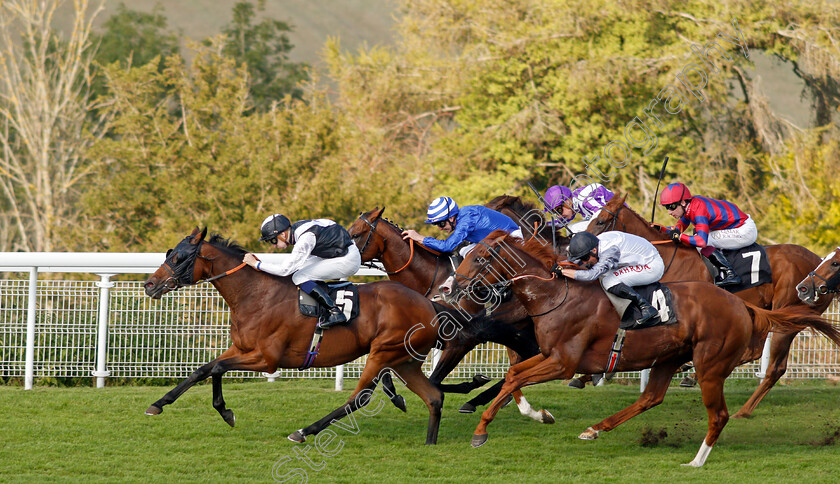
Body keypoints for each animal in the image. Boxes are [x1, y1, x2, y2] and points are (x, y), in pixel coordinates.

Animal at [146, 229, 472, 444]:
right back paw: (430, 443)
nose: (150, 284)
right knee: (434, 397)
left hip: (383, 353)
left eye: (180, 257)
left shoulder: (267, 359)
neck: (255, 294)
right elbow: (203, 370)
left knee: (358, 398)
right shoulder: (241, 348)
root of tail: (429, 304)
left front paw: (224, 412)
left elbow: (216, 368)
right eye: (170, 253)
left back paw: (304, 431)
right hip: (404, 360)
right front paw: (160, 404)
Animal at [348, 202, 564, 422]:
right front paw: (396, 396)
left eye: (355, 235)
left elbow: (433, 381)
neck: (430, 281)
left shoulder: (461, 342)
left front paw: (474, 382)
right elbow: (389, 373)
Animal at [450, 233, 840, 466]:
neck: (554, 294)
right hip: (669, 357)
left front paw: (482, 432)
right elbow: (513, 375)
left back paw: (697, 460)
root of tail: (740, 304)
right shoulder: (549, 356)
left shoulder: (563, 362)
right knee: (651, 397)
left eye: (481, 258)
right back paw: (595, 429)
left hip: (709, 365)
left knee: (719, 413)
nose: (450, 288)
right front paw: (530, 416)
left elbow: (516, 377)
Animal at [584, 195, 832, 418]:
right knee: (755, 352)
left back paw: (738, 406)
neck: (667, 258)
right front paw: (590, 375)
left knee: (773, 367)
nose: (579, 249)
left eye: (601, 221)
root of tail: (818, 263)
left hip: (787, 314)